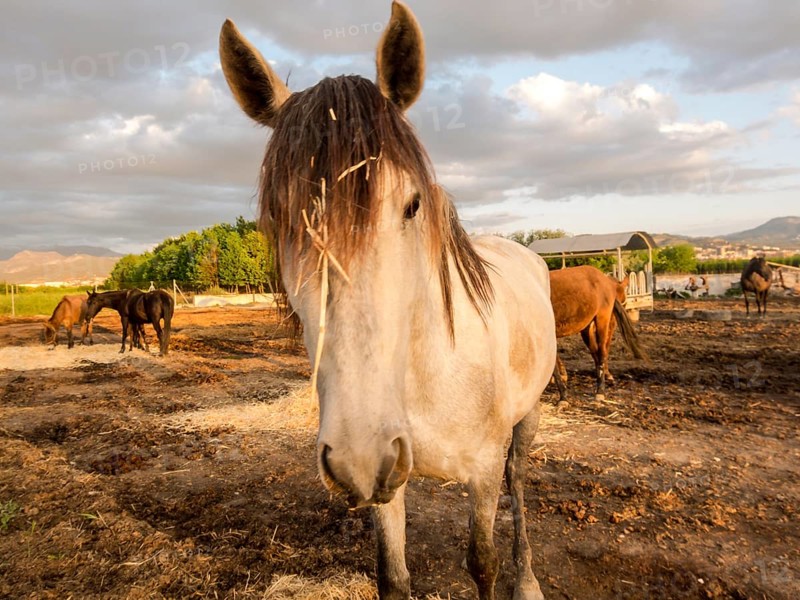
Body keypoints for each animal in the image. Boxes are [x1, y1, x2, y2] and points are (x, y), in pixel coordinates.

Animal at [219, 3, 557, 598]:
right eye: (277, 219)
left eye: (412, 204)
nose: (358, 452)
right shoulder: (386, 477)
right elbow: (393, 576)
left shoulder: (483, 471)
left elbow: (483, 562)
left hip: (527, 418)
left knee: (519, 483)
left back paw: (528, 580)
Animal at [549, 266, 648, 403]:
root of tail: (604, 279)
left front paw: (563, 395)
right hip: (589, 328)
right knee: (596, 351)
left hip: (602, 320)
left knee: (601, 352)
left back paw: (600, 390)